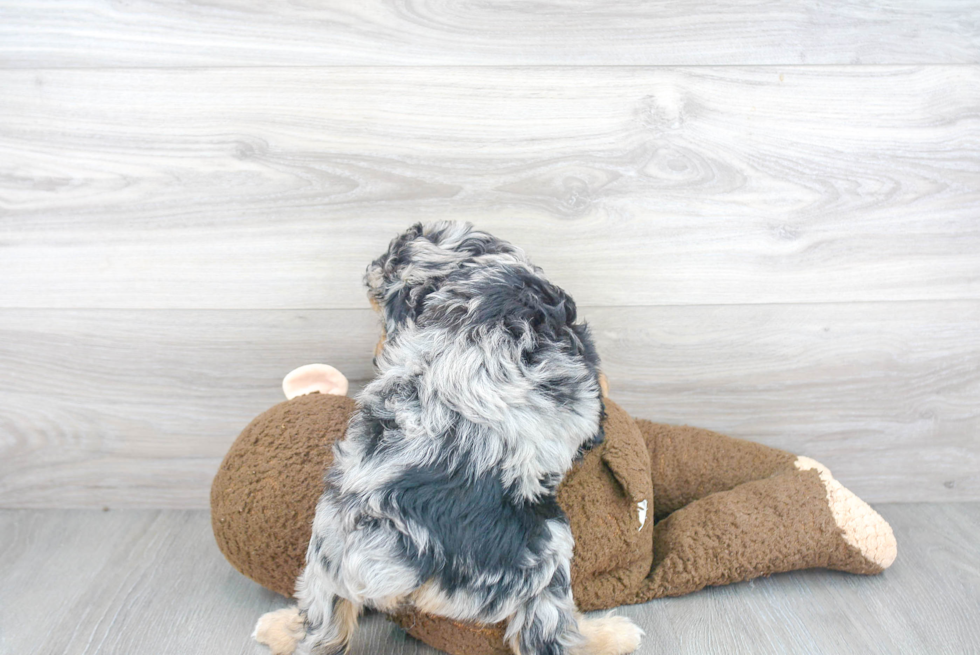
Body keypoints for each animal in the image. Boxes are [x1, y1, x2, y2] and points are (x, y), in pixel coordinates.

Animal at [253, 223, 644, 652]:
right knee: (547, 634)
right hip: (543, 553)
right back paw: (611, 634)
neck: (467, 268)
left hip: (325, 560)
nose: (377, 353)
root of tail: (387, 553)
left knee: (321, 627)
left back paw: (277, 627)